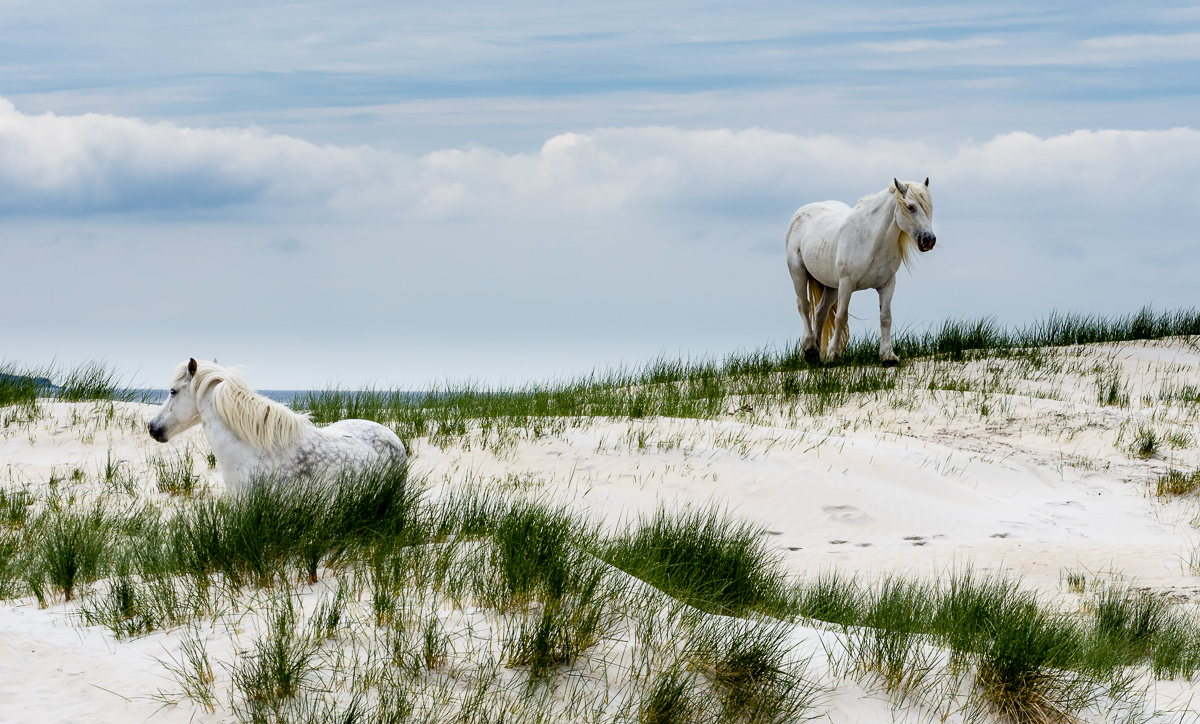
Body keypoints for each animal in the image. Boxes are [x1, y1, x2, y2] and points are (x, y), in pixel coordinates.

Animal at [785, 178, 936, 365]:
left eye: (928, 207)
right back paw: (810, 349)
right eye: (911, 207)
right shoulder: (846, 284)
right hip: (799, 273)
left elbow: (885, 318)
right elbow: (841, 317)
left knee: (820, 313)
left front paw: (888, 356)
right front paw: (833, 354)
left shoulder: (887, 284)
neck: (871, 240)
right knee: (804, 306)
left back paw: (817, 356)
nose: (929, 240)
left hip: (832, 286)